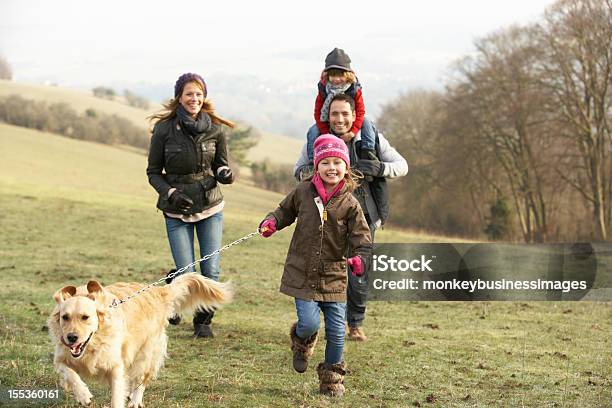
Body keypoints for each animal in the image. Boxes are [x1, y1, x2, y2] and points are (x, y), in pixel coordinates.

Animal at [48, 274, 232, 408]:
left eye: (85, 317)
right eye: (65, 317)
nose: (71, 337)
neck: (92, 344)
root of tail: (158, 291)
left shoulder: (116, 366)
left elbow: (117, 395)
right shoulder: (61, 358)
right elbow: (70, 373)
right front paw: (83, 395)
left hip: (146, 354)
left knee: (141, 380)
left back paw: (135, 401)